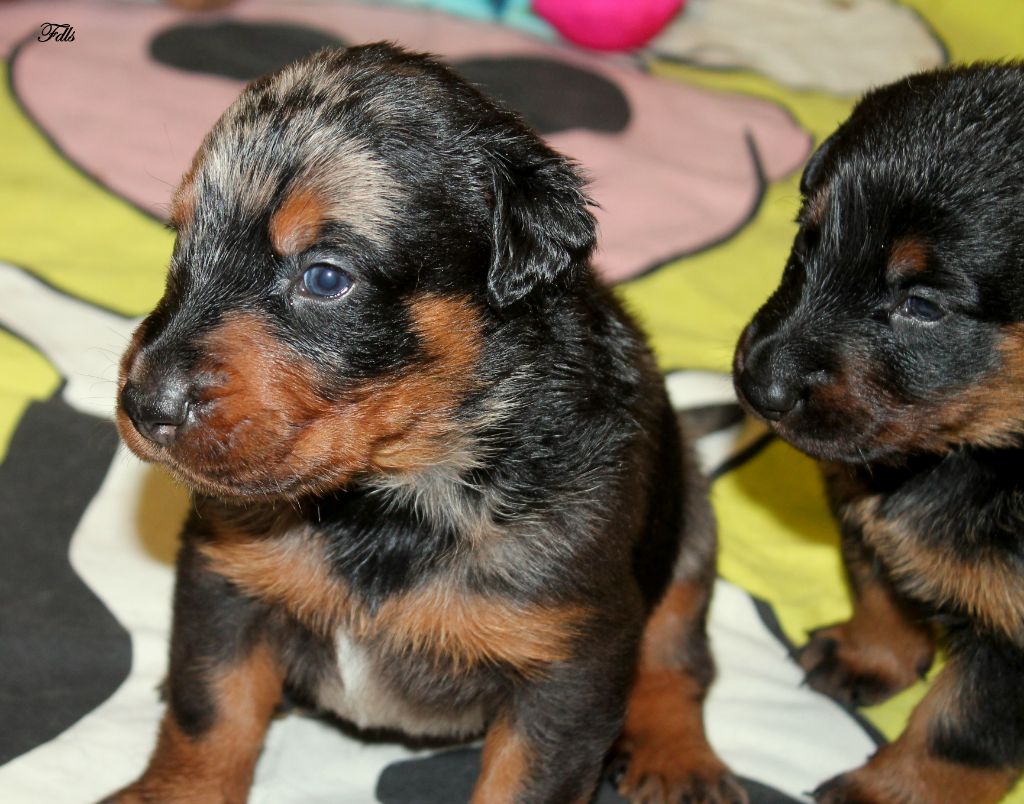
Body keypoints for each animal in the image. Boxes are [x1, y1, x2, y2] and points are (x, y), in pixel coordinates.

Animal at [105, 45, 745, 802]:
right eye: (182, 240)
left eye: (326, 277)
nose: (146, 404)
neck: (390, 502)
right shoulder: (225, 579)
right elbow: (209, 717)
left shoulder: (572, 664)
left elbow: (525, 783)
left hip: (691, 524)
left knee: (680, 653)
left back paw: (679, 755)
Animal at [733, 64, 1024, 802]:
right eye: (806, 242)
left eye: (921, 305)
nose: (758, 385)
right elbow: (878, 584)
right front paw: (868, 656)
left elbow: (957, 733)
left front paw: (887, 790)